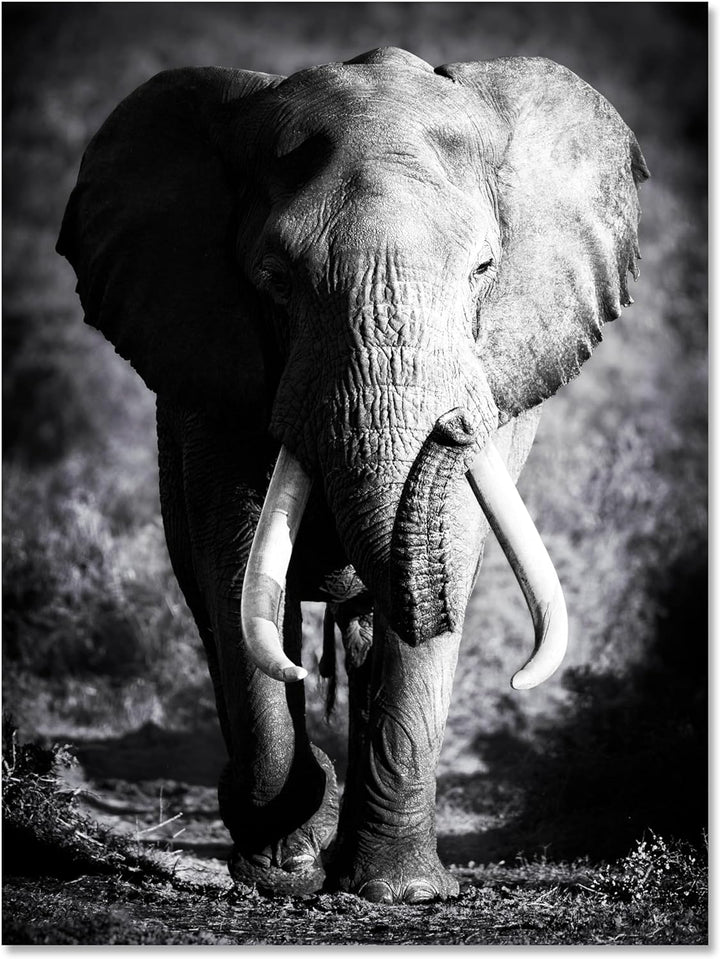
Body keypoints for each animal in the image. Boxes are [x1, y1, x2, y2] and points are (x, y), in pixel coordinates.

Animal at [57, 46, 647, 903]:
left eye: (484, 269)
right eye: (274, 279)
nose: (454, 425)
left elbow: (451, 550)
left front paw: (402, 892)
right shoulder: (212, 370)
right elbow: (235, 564)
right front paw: (281, 871)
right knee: (211, 602)